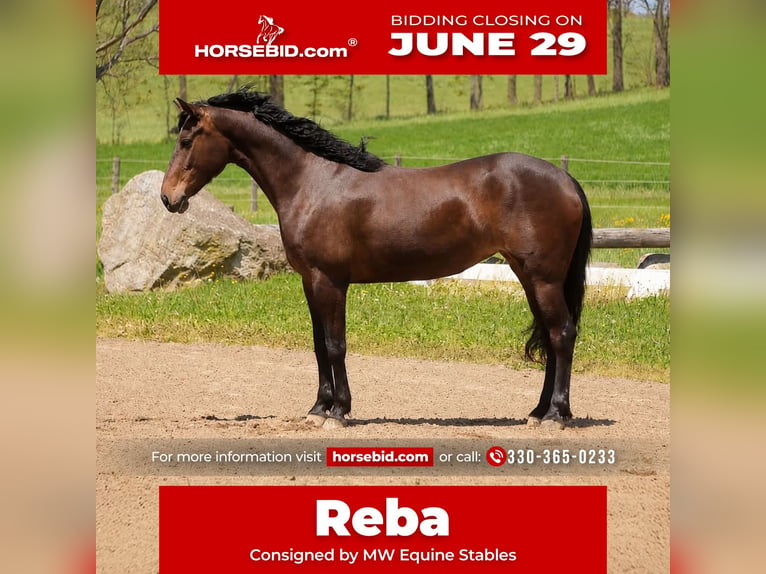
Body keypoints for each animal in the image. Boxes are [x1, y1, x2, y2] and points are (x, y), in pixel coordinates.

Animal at [160, 88, 592, 429]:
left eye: (187, 139)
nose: (168, 198)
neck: (311, 182)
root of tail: (566, 179)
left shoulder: (330, 280)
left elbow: (335, 344)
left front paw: (338, 412)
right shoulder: (310, 281)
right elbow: (318, 344)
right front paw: (318, 408)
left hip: (543, 278)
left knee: (562, 334)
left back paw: (556, 415)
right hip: (529, 275)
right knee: (551, 336)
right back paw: (538, 412)